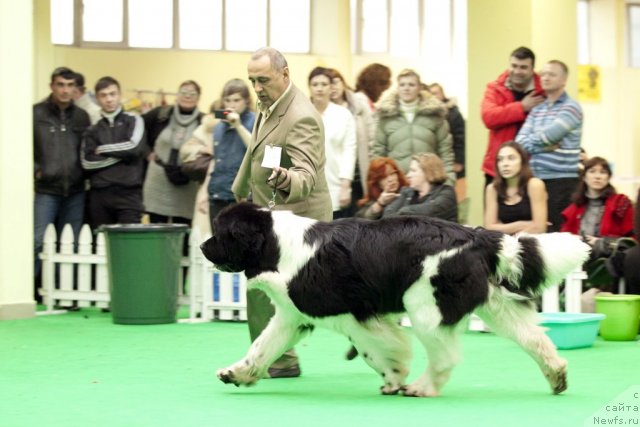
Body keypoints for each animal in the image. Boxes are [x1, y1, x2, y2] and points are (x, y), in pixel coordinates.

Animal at [200, 204, 592, 398]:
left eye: (222, 233)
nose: (202, 245)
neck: (278, 246)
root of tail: (477, 236)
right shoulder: (293, 317)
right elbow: (261, 348)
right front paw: (236, 373)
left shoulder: (351, 314)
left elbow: (377, 349)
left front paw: (395, 376)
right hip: (495, 306)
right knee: (535, 339)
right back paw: (557, 376)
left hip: (425, 306)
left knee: (445, 356)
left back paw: (421, 388)